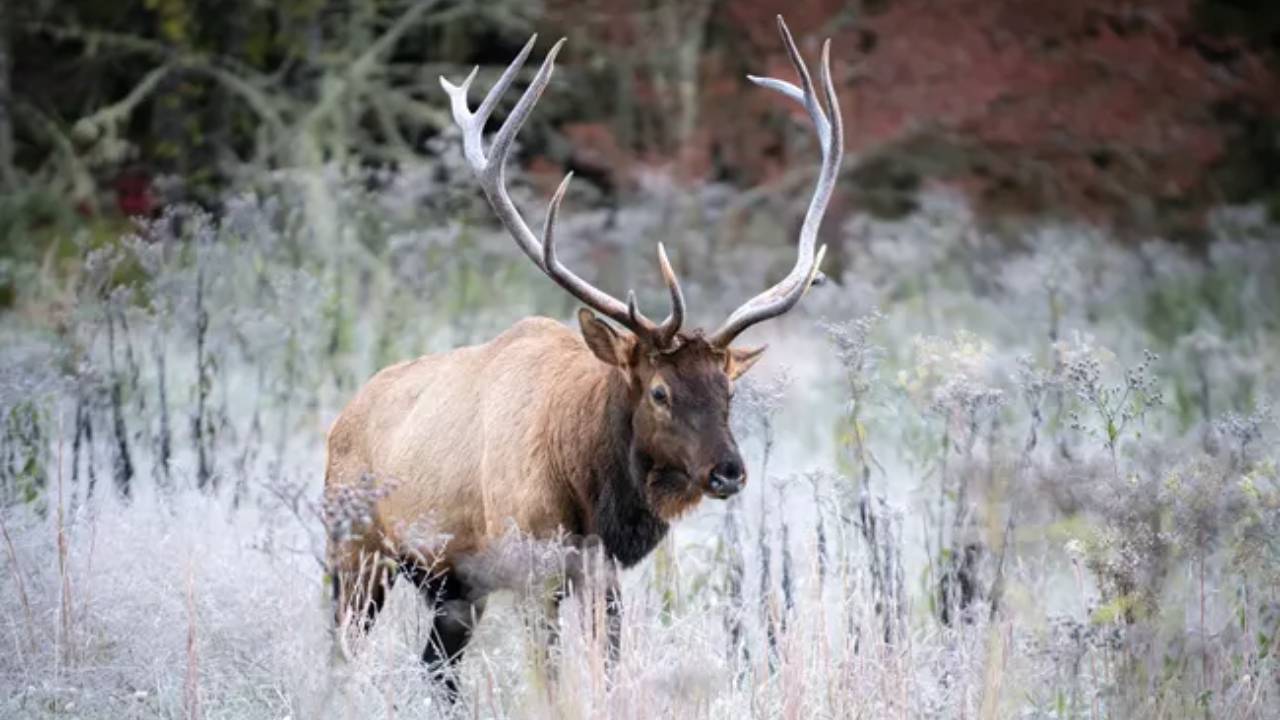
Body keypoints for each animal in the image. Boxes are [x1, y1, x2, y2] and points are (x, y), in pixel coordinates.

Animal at [324, 15, 842, 698]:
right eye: (659, 391)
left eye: (729, 390)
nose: (729, 472)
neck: (588, 492)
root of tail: (339, 420)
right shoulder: (532, 566)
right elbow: (547, 679)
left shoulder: (601, 574)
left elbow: (609, 669)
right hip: (354, 551)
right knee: (342, 653)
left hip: (449, 587)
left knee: (436, 670)